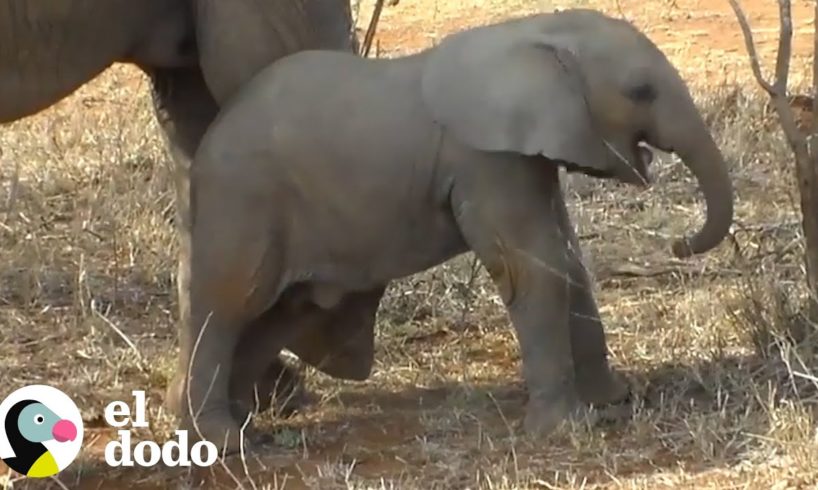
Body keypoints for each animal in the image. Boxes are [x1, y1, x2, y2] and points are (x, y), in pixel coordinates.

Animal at [172, 7, 732, 454]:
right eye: (640, 91)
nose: (679, 244)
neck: (537, 32)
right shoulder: (486, 160)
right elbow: (532, 264)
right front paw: (565, 430)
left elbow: (566, 259)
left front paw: (612, 402)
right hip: (244, 199)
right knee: (230, 304)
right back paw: (221, 440)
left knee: (284, 312)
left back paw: (234, 421)